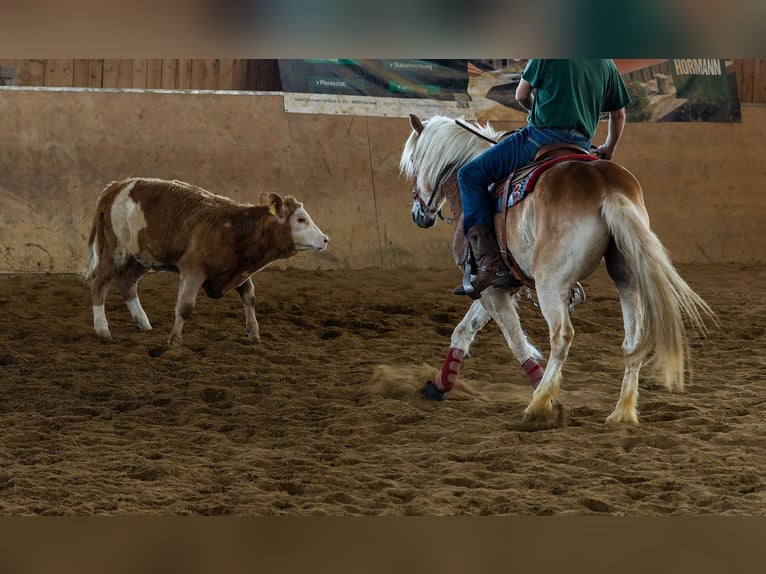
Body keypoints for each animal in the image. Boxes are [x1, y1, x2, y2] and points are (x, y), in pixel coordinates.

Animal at [81, 178, 330, 346]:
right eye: (301, 219)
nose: (325, 239)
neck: (235, 228)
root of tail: (113, 188)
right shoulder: (193, 268)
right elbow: (185, 306)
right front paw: (174, 340)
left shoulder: (239, 269)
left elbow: (250, 298)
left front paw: (254, 333)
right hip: (114, 249)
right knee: (99, 281)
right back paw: (102, 329)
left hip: (141, 257)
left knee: (127, 282)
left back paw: (143, 323)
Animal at [400, 113, 716, 428]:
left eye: (414, 164)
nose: (418, 215)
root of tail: (605, 187)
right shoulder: (497, 286)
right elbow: (463, 331)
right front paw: (438, 385)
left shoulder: (489, 287)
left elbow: (514, 341)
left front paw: (548, 396)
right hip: (626, 276)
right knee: (633, 341)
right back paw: (622, 411)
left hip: (550, 283)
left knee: (562, 336)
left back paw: (538, 404)